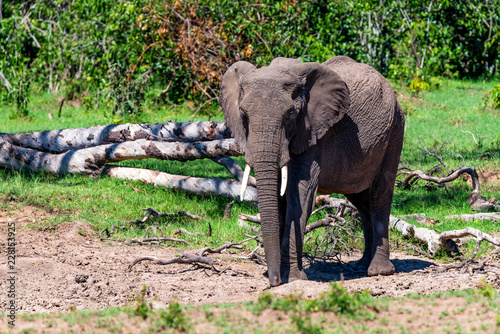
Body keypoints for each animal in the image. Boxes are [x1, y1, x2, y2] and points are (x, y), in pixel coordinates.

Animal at [220, 56, 406, 286]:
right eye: (243, 115)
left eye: (290, 114)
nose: (273, 281)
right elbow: (279, 198)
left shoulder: (312, 132)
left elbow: (299, 195)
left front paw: (292, 278)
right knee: (361, 201)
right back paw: (360, 265)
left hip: (395, 131)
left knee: (380, 194)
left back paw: (379, 271)